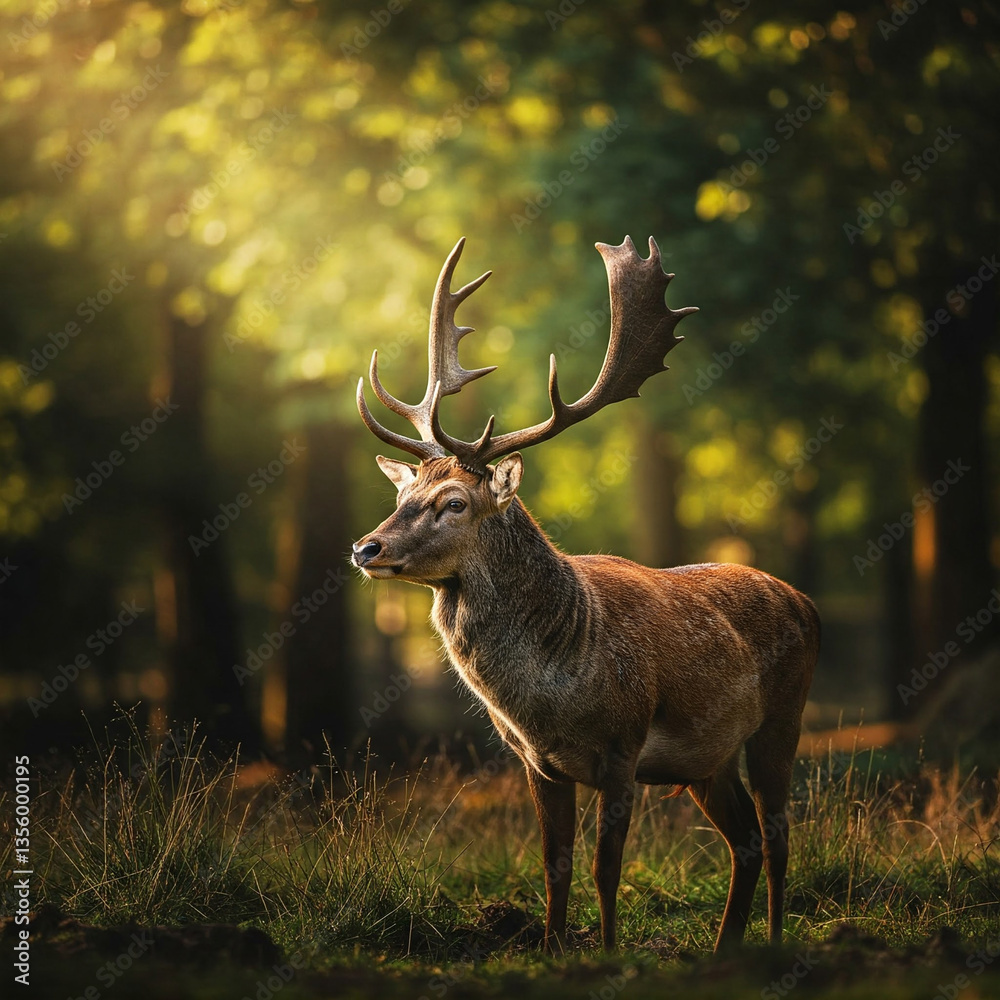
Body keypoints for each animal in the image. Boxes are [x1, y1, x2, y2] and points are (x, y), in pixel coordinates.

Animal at [351, 236, 820, 955]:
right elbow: (555, 867)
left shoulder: (622, 748)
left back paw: (768, 941)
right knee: (743, 840)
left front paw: (606, 951)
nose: (366, 548)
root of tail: (808, 604)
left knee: (777, 834)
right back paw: (724, 948)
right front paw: (550, 949)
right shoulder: (537, 764)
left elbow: (605, 869)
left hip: (783, 720)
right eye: (404, 495)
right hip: (708, 760)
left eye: (453, 502)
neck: (553, 695)